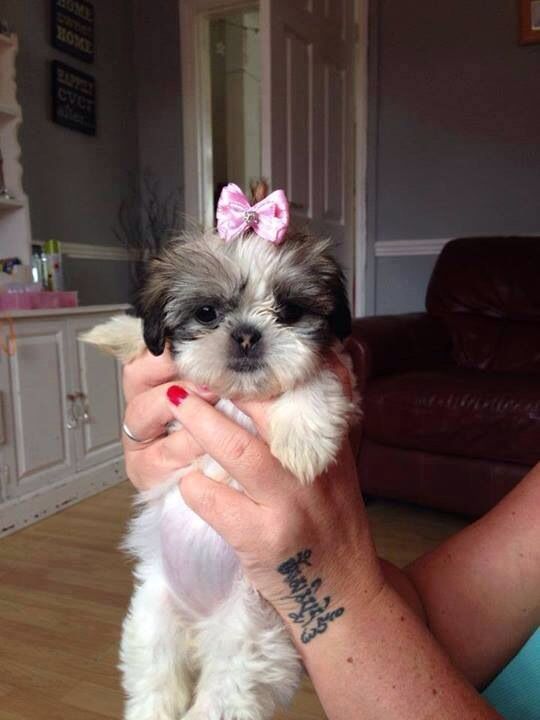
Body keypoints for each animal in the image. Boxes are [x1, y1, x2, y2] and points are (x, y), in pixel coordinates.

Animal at [83, 184, 354, 720]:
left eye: (289, 312)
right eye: (207, 313)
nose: (248, 333)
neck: (235, 397)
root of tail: (200, 625)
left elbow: (313, 375)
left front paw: (304, 437)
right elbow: (148, 342)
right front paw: (113, 332)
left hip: (249, 635)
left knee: (224, 694)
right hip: (153, 618)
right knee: (155, 678)